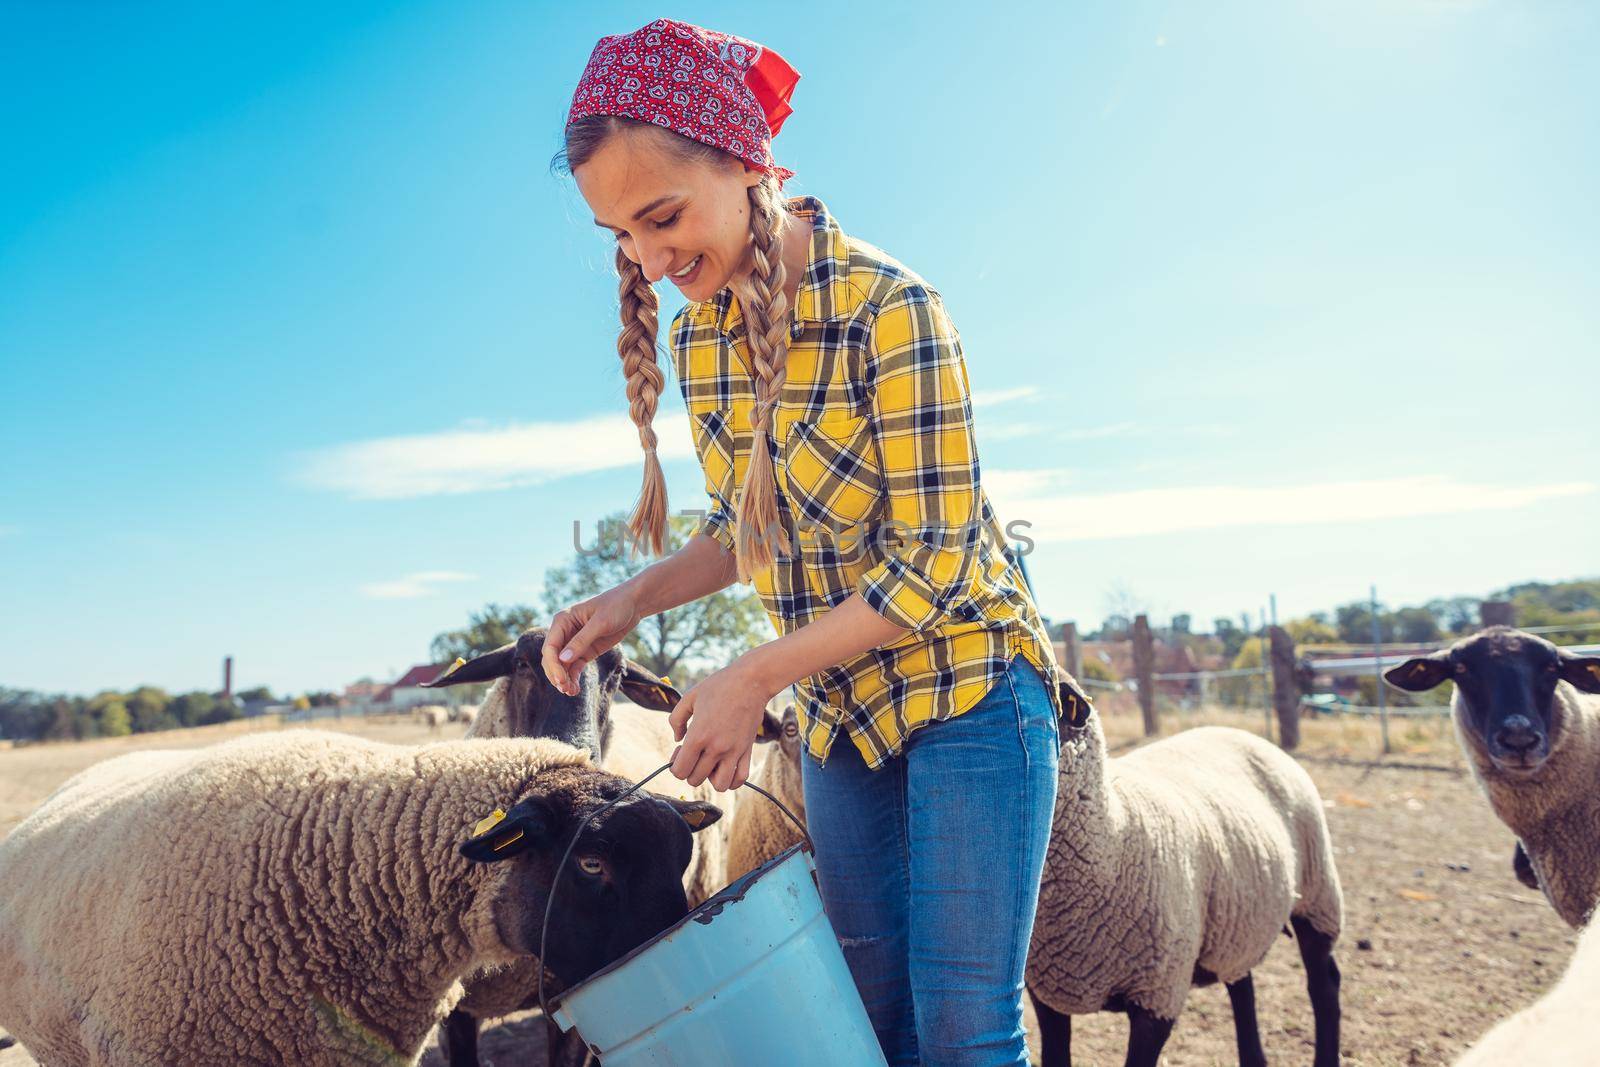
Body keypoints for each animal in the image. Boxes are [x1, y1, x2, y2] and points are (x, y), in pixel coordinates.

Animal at [1017, 687, 1344, 1067]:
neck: (1113, 833)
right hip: (1236, 913)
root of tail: (1246, 735)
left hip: (1317, 895)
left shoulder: (1158, 995)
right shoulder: (1046, 990)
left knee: (1324, 984)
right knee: (1242, 984)